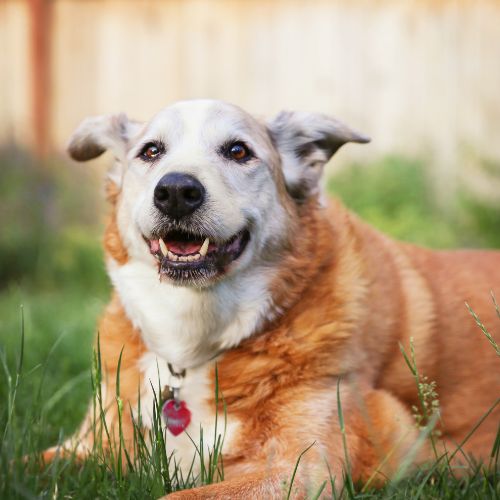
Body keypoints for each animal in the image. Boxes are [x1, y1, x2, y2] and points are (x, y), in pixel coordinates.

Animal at [47, 98, 500, 496]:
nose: (175, 191)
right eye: (151, 151)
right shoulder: (87, 446)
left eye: (238, 150)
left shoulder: (297, 470)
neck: (193, 348)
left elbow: (177, 496)